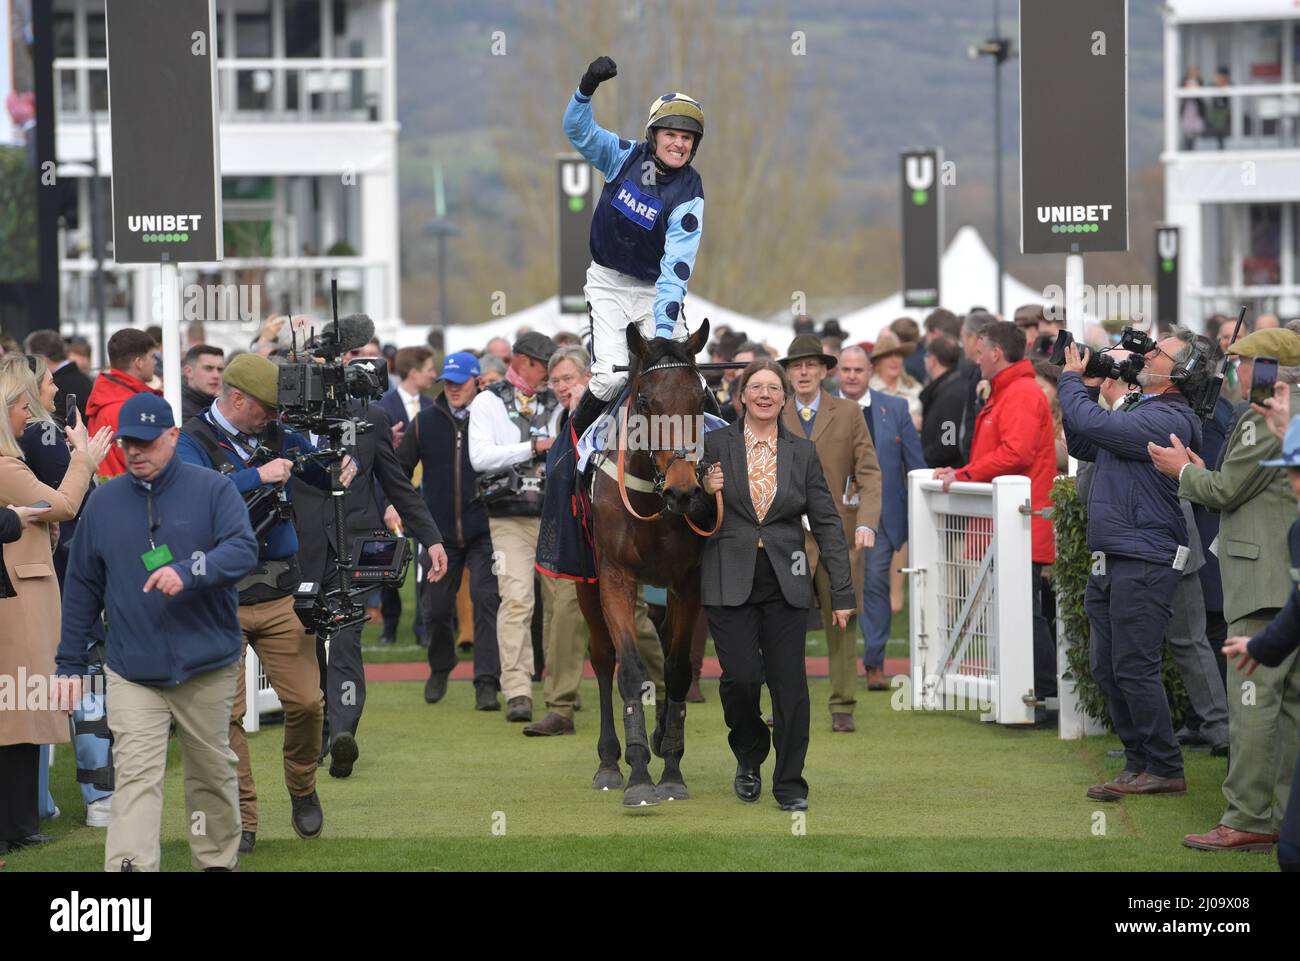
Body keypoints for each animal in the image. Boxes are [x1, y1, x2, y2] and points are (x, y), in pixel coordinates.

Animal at [577, 319, 722, 806]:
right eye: (645, 402)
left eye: (700, 399)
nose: (684, 491)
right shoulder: (614, 576)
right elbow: (629, 667)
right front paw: (639, 773)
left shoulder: (688, 580)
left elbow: (676, 669)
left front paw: (671, 767)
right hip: (584, 582)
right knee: (602, 658)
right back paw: (607, 762)